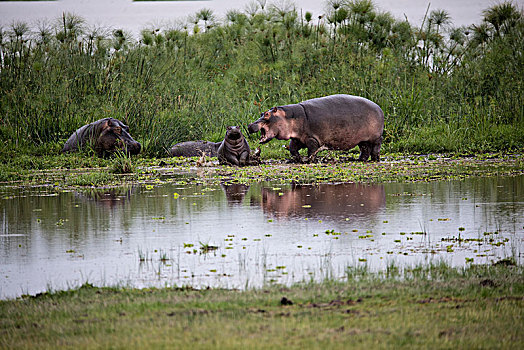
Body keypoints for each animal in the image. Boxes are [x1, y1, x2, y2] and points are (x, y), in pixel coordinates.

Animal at [248, 94, 382, 163]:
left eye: (266, 114)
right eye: (261, 113)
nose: (249, 125)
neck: (288, 117)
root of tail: (378, 107)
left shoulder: (312, 139)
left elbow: (311, 150)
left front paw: (308, 160)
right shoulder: (297, 138)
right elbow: (292, 149)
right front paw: (298, 159)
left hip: (376, 138)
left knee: (375, 148)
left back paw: (375, 159)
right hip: (363, 139)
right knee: (365, 149)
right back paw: (360, 160)